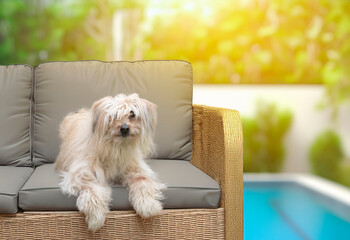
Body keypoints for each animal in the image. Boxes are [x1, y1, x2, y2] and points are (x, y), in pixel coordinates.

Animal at [54, 94, 165, 232]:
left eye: (132, 114)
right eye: (114, 116)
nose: (124, 129)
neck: (116, 147)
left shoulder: (135, 169)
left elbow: (143, 181)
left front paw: (147, 205)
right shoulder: (81, 174)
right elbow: (93, 189)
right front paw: (96, 216)